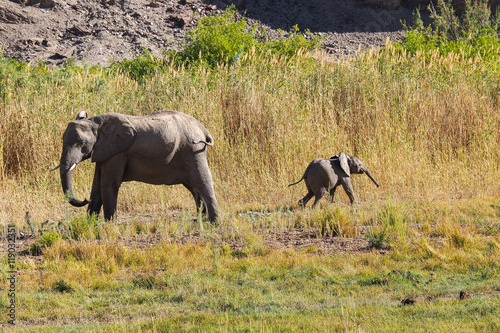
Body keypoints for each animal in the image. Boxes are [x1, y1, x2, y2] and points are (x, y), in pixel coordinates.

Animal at [55, 110, 218, 222]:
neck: (95, 122)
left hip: (193, 150)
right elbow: (96, 186)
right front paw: (90, 225)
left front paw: (109, 227)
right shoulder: (103, 152)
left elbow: (108, 184)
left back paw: (214, 224)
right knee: (195, 188)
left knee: (203, 182)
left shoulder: (117, 153)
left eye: (80, 143)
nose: (84, 200)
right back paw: (202, 221)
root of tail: (202, 129)